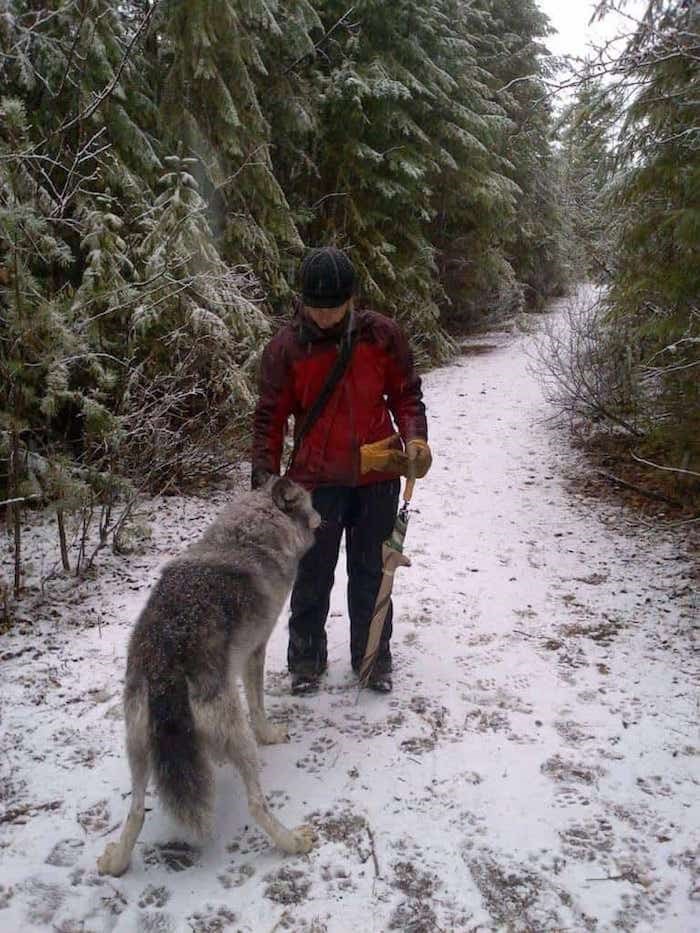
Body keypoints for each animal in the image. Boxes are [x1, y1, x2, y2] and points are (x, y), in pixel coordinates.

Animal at [96, 476, 320, 876]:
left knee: (136, 813)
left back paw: (116, 863)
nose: (323, 515)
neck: (251, 538)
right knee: (256, 806)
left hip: (137, 752)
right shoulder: (255, 652)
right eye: (309, 502)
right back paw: (294, 841)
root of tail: (164, 667)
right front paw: (271, 734)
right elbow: (259, 707)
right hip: (240, 740)